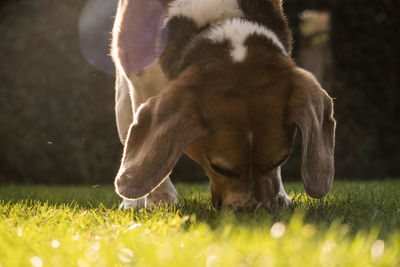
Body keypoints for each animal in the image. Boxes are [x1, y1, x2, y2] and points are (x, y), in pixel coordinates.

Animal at [111, 0, 336, 209]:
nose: (254, 210)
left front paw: (280, 195)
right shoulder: (141, 85)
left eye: (280, 160)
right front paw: (161, 200)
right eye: (220, 168)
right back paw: (133, 203)